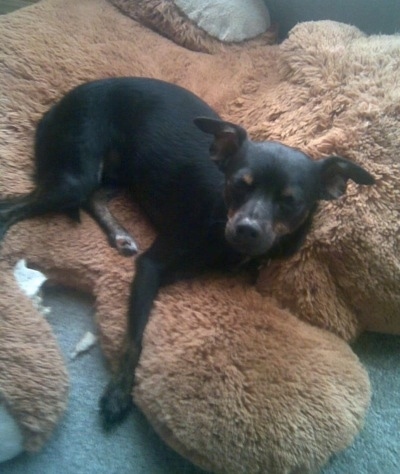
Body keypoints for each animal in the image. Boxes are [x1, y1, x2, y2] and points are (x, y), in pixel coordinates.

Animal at [0, 77, 376, 426]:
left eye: (290, 202)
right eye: (238, 185)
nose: (246, 229)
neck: (222, 227)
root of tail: (59, 105)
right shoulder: (150, 267)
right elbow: (135, 337)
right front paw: (119, 393)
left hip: (120, 174)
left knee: (93, 197)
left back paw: (120, 235)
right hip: (75, 177)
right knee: (13, 206)